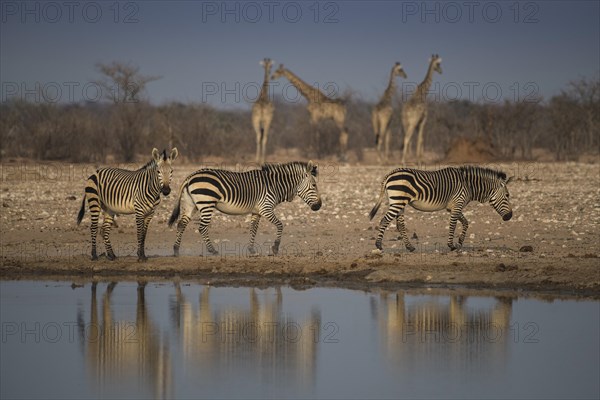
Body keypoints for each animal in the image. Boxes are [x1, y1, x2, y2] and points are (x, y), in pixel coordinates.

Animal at [166, 162, 322, 256]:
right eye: (314, 185)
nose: (319, 206)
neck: (275, 185)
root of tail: (189, 177)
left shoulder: (257, 211)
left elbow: (253, 229)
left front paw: (251, 249)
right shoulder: (265, 208)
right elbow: (280, 225)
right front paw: (275, 248)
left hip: (191, 204)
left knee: (181, 224)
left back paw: (176, 250)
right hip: (206, 202)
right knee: (202, 227)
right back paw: (213, 250)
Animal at [368, 167, 512, 252]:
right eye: (507, 195)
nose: (509, 216)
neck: (469, 185)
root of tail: (389, 174)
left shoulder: (453, 207)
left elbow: (465, 223)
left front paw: (460, 241)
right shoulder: (458, 204)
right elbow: (453, 225)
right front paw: (451, 245)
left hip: (399, 202)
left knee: (400, 225)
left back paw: (410, 247)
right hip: (398, 201)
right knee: (384, 220)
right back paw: (378, 245)